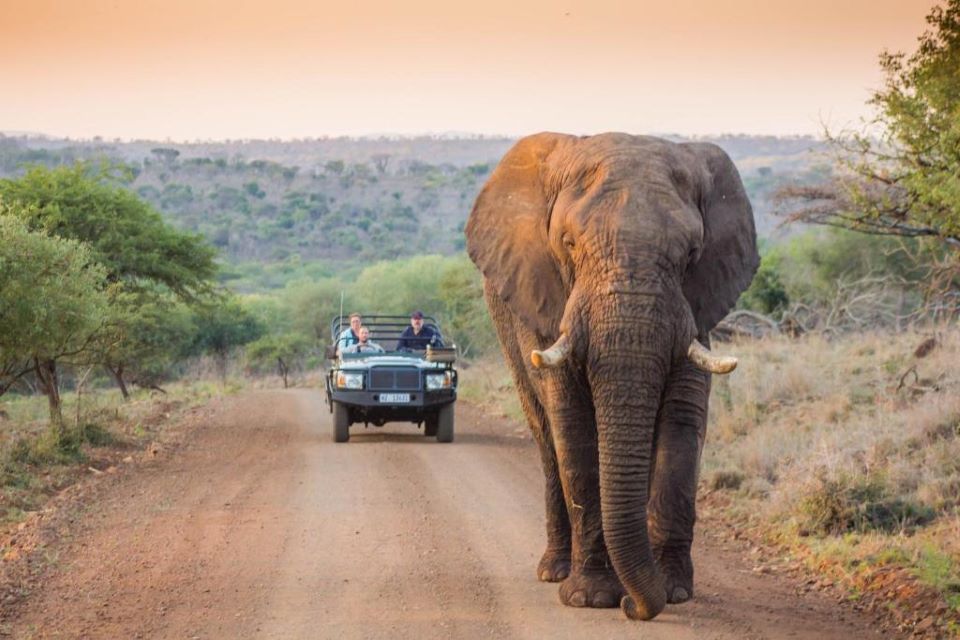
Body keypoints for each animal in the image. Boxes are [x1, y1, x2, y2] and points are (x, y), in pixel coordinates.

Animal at [464, 131, 756, 620]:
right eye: (568, 244)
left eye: (691, 254)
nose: (633, 608)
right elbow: (574, 430)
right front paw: (593, 598)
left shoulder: (695, 310)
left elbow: (682, 425)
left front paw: (672, 591)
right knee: (546, 438)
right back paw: (555, 571)